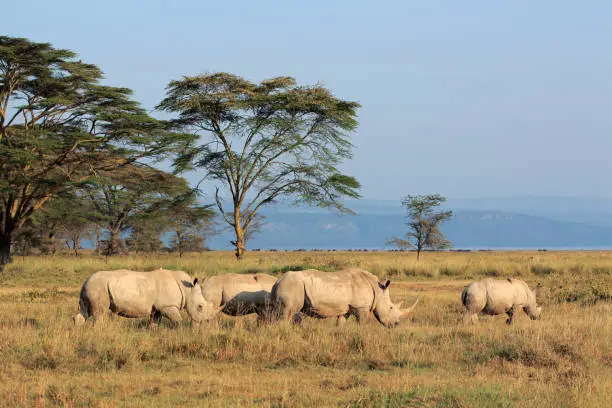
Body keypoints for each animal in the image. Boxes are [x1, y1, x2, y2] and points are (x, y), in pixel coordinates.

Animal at [72, 268, 216, 328]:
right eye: (200, 306)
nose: (206, 322)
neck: (188, 290)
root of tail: (85, 281)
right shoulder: (167, 306)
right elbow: (178, 321)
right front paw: (182, 331)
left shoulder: (157, 308)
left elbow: (154, 323)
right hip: (98, 287)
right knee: (99, 314)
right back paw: (100, 331)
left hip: (91, 287)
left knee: (85, 312)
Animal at [268, 268, 418, 328]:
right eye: (391, 307)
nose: (396, 324)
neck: (378, 289)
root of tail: (277, 281)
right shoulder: (361, 307)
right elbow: (362, 324)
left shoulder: (345, 309)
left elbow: (340, 324)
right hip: (292, 286)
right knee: (286, 314)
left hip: (286, 287)